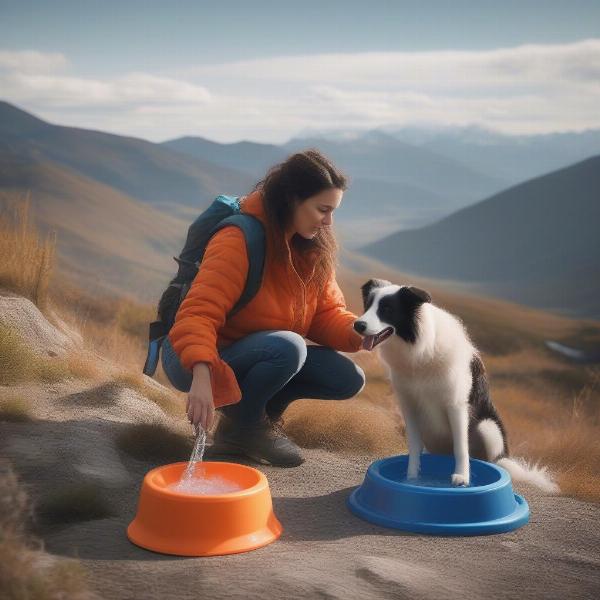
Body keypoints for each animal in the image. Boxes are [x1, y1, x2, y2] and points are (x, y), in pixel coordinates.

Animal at [356, 278, 556, 490]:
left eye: (387, 309)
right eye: (367, 306)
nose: (357, 325)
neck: (421, 352)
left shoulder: (456, 405)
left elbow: (460, 447)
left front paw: (462, 477)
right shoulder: (409, 405)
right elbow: (413, 446)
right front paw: (411, 477)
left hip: (488, 427)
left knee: (487, 459)